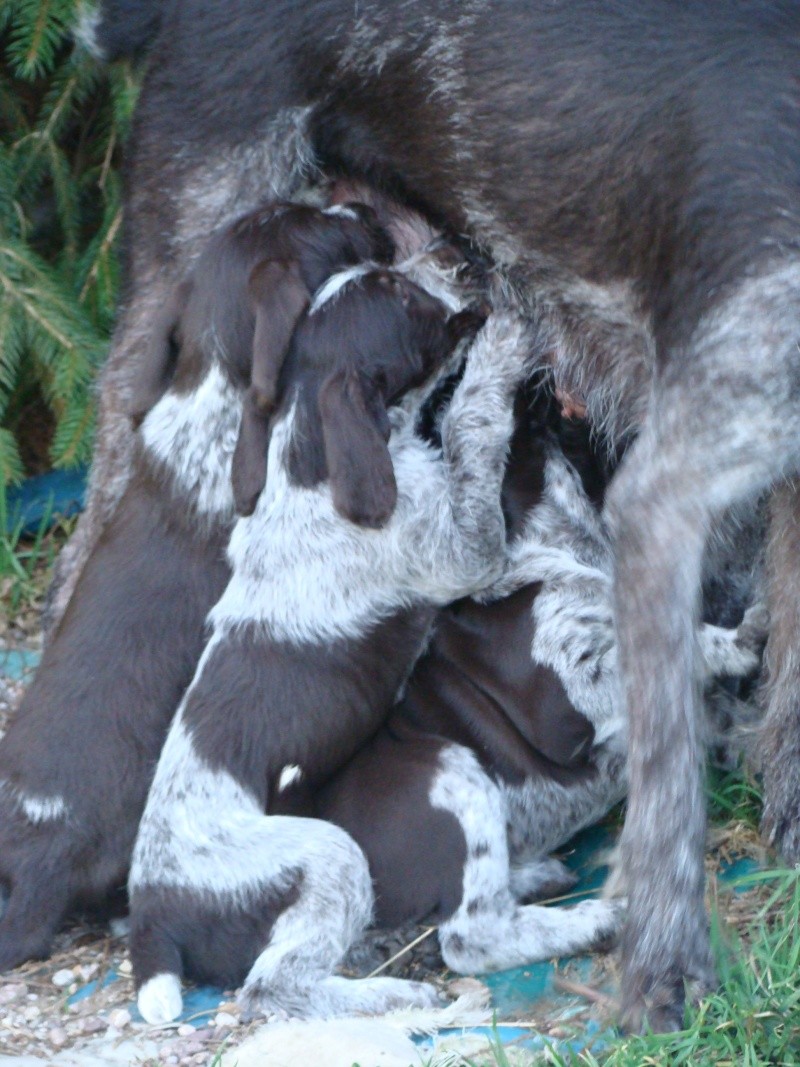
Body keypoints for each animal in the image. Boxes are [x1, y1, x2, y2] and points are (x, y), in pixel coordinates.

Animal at [128, 262, 597, 1020]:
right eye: (403, 297)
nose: (453, 262)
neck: (311, 457)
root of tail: (149, 916)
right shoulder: (468, 554)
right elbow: (473, 431)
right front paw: (498, 350)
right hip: (327, 857)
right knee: (273, 986)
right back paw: (395, 994)